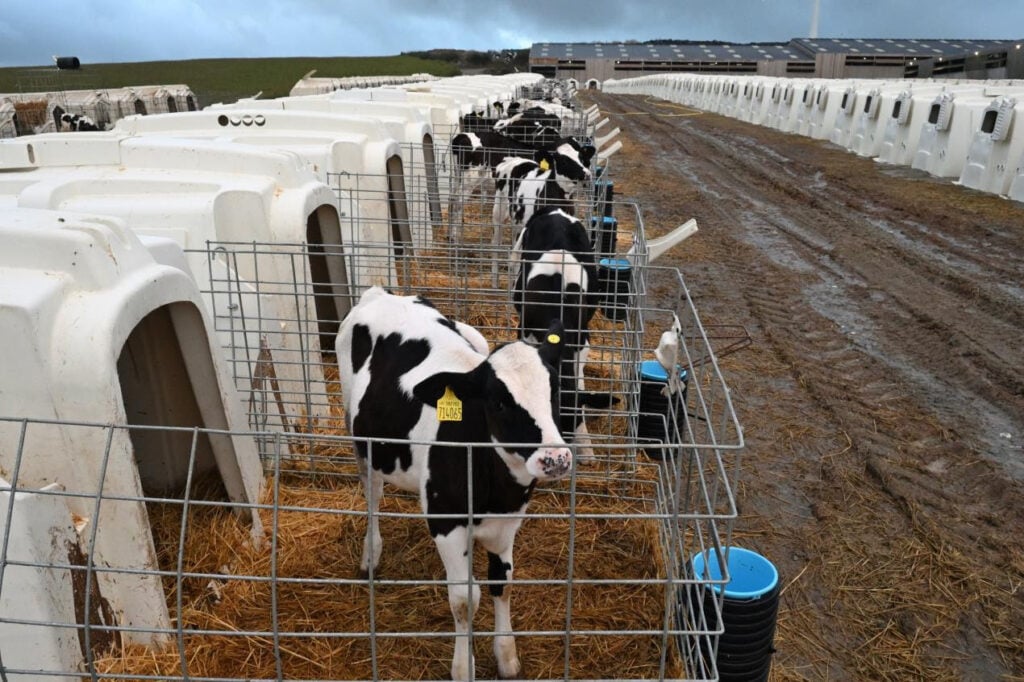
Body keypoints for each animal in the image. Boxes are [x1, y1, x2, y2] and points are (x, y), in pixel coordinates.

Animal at [337, 286, 573, 679]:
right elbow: (464, 599)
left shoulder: (508, 521)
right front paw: (464, 667)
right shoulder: (446, 520)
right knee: (372, 496)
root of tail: (382, 293)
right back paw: (370, 556)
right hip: (360, 440)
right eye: (499, 402)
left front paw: (506, 656)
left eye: (555, 392)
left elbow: (502, 582)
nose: (555, 458)